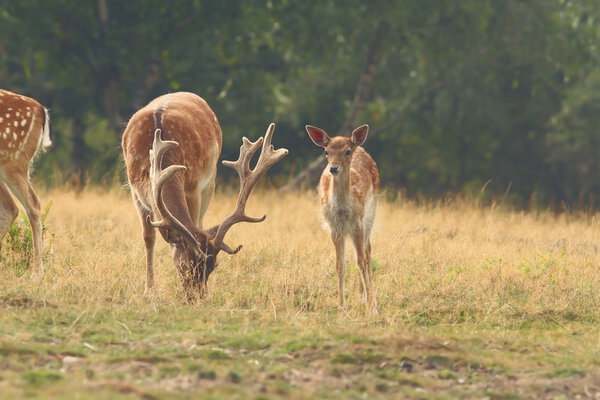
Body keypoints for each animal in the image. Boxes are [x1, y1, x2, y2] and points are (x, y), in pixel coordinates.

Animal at [121, 92, 286, 302]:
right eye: (184, 266)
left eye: (213, 267)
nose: (196, 297)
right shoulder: (136, 190)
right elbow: (148, 237)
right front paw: (149, 292)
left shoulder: (193, 185)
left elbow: (194, 224)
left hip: (210, 180)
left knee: (199, 221)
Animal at [304, 125, 380, 316]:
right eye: (326, 151)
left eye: (347, 151)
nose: (333, 168)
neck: (342, 211)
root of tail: (360, 147)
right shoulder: (335, 228)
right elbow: (340, 265)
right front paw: (341, 307)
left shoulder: (358, 224)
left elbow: (361, 262)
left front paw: (372, 309)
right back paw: (361, 298)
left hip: (371, 212)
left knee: (367, 252)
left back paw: (365, 299)